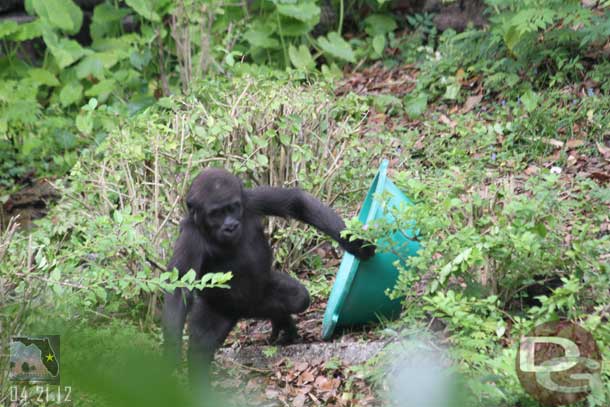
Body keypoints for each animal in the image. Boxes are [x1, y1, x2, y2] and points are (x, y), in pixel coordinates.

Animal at [160, 169, 370, 392]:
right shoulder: (190, 237)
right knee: (200, 347)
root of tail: (241, 314)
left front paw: (355, 242)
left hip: (263, 293)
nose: (231, 225)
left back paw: (281, 319)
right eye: (216, 214)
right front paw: (171, 351)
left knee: (297, 298)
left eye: (233, 207)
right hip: (217, 308)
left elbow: (296, 203)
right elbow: (178, 287)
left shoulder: (250, 200)